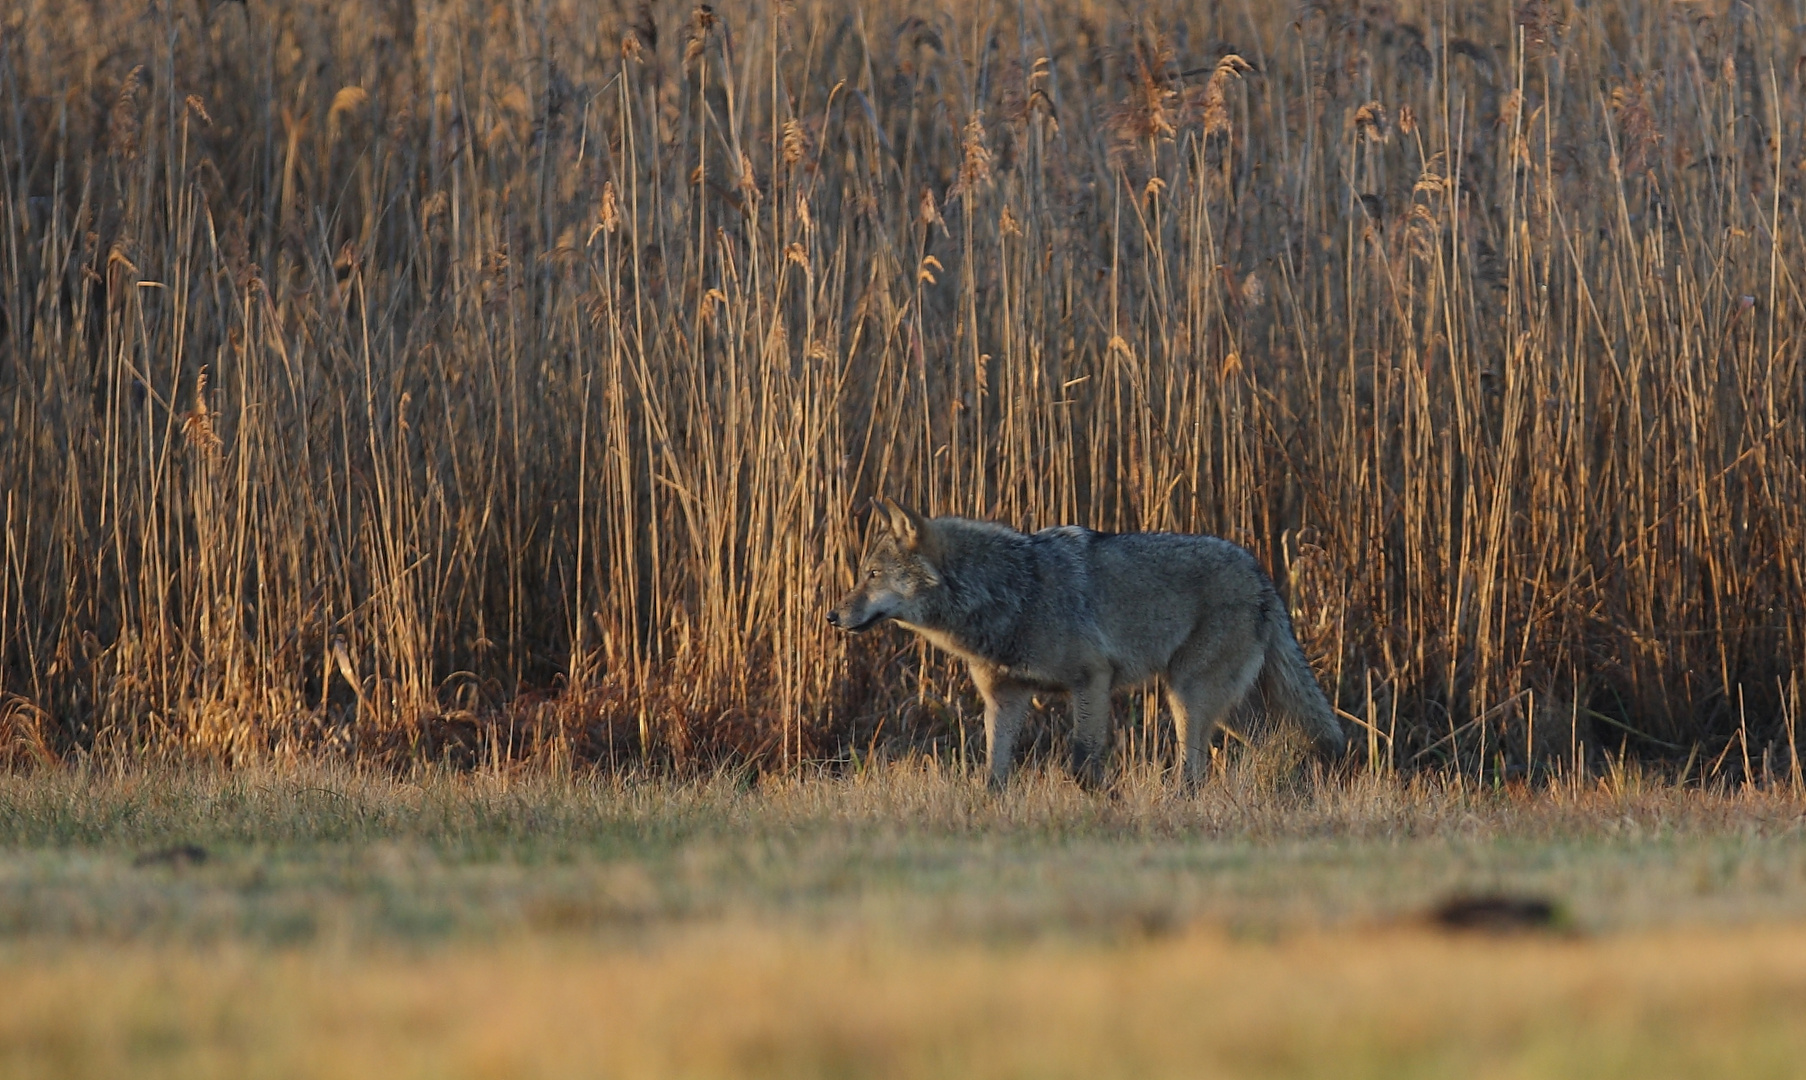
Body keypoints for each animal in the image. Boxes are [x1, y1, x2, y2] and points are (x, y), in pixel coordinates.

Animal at [827, 502, 1343, 791]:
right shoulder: (1005, 698)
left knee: (1194, 772)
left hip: (1188, 697)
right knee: (1269, 747)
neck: (1011, 593)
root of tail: (1262, 575)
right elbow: (993, 775)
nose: (832, 616)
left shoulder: (1092, 681)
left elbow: (1081, 765)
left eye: (872, 574)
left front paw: (1111, 800)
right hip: (1224, 708)